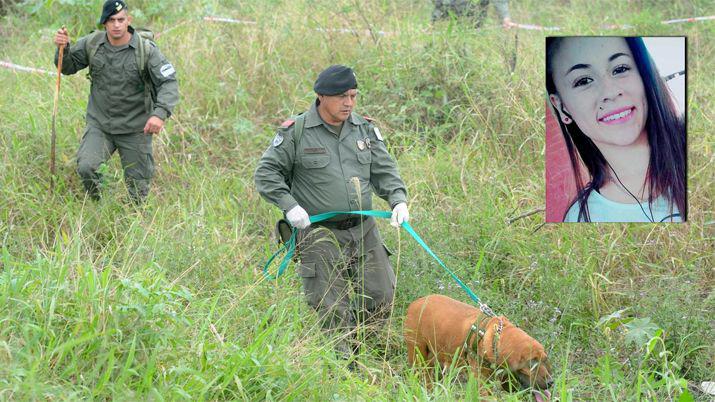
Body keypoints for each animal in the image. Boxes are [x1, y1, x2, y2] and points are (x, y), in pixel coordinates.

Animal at [402, 294, 552, 398]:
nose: (551, 382)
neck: (496, 337)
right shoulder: (480, 381)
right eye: (532, 363)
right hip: (417, 354)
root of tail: (414, 303)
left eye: (545, 360)